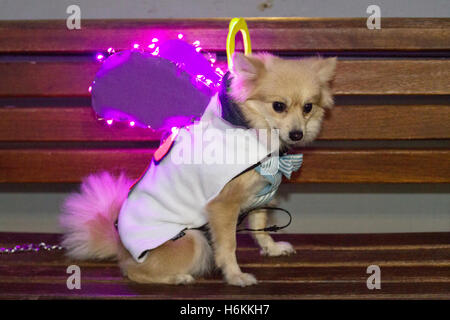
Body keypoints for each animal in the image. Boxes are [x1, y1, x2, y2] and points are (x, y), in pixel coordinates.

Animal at [59, 53, 336, 288]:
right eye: (278, 106)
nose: (297, 133)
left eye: (308, 107)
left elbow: (260, 227)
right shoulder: (223, 207)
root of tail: (119, 246)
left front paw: (272, 248)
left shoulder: (260, 196)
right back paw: (176, 277)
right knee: (132, 271)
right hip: (192, 240)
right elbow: (228, 247)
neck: (251, 129)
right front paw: (235, 276)